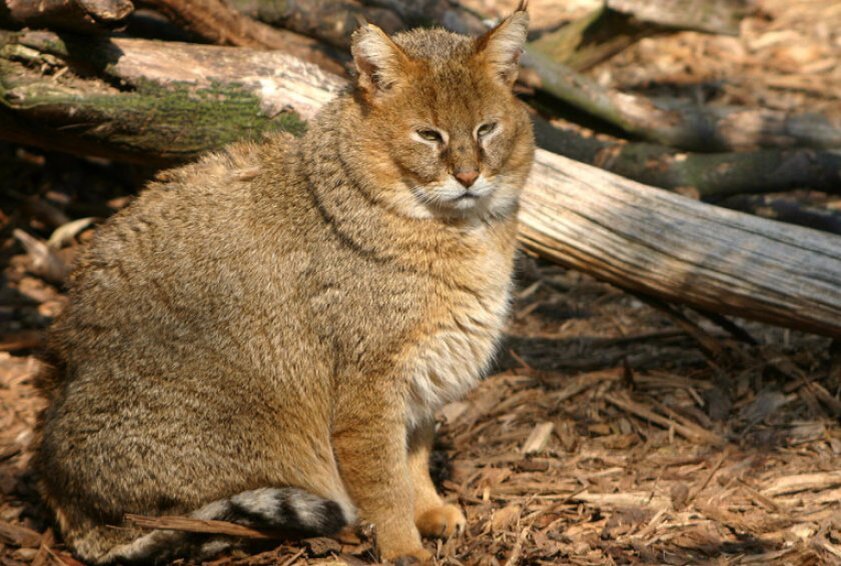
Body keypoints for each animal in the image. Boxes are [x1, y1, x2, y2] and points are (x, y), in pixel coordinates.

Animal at [32, 3, 536, 564]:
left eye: (486, 129)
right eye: (429, 135)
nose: (469, 177)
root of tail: (59, 499)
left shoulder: (423, 379)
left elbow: (414, 459)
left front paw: (427, 511)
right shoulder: (370, 390)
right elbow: (385, 483)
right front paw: (403, 546)